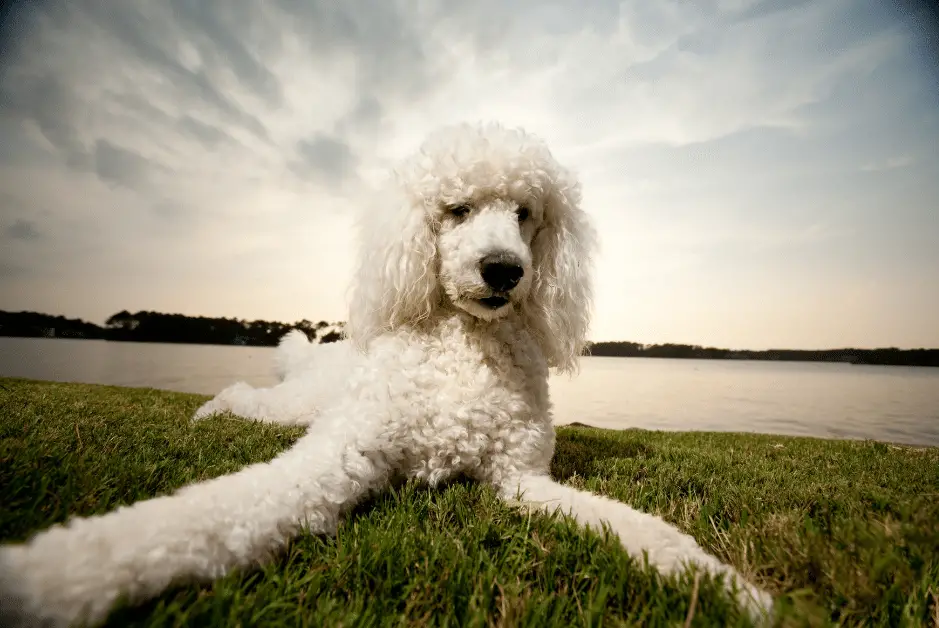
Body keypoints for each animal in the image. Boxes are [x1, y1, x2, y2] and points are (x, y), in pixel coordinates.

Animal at [0, 121, 776, 624]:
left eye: (525, 213)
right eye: (457, 209)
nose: (504, 271)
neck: (464, 350)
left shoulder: (521, 480)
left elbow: (642, 529)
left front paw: (730, 589)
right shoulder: (342, 452)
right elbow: (206, 514)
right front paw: (54, 576)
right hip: (298, 408)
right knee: (248, 395)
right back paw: (211, 409)